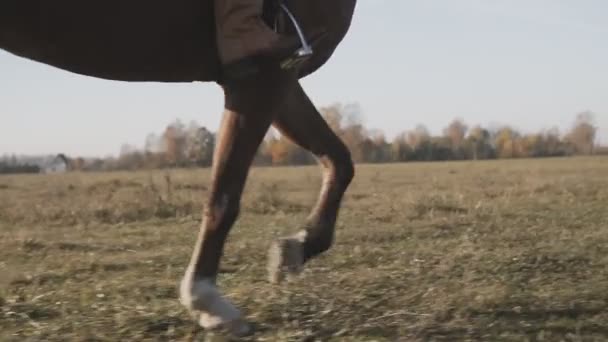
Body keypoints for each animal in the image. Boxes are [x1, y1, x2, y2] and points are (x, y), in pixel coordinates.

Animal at [0, 0, 358, 336]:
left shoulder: (283, 73)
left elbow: (340, 162)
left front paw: (295, 248)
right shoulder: (261, 74)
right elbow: (224, 196)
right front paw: (206, 299)